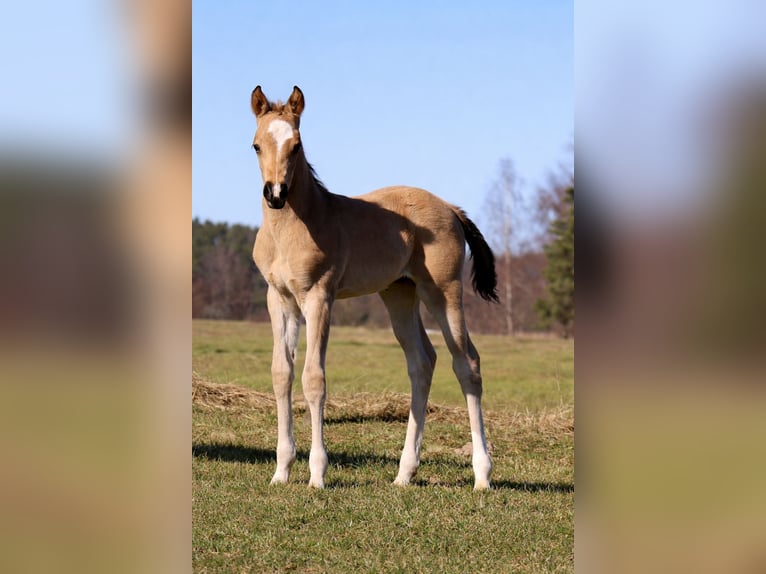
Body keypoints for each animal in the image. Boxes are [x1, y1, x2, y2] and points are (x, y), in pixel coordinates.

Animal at [250, 85, 499, 489]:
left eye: (297, 145)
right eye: (256, 145)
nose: (275, 194)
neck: (294, 227)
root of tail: (450, 207)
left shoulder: (320, 297)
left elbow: (314, 378)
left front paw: (317, 475)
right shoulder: (279, 299)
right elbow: (281, 374)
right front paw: (281, 471)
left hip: (443, 292)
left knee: (467, 363)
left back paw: (482, 475)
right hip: (399, 294)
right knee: (422, 363)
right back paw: (404, 473)